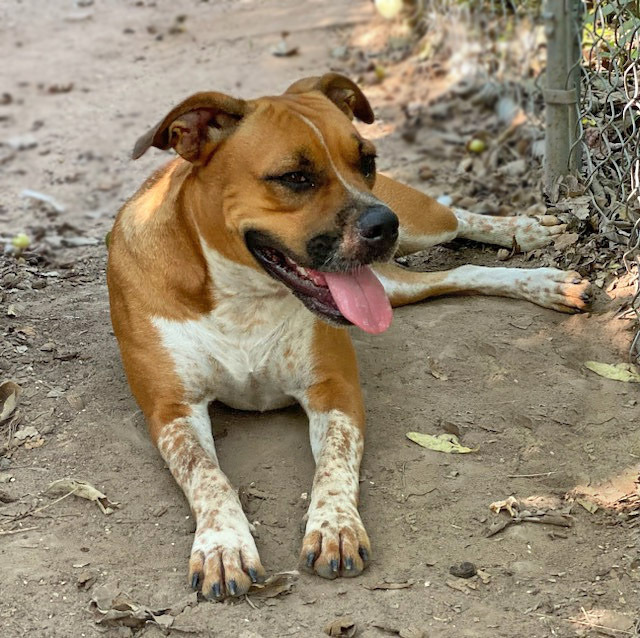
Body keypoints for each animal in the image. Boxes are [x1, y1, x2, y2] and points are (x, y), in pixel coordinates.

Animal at [105, 72, 592, 604]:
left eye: (367, 161)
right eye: (294, 177)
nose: (383, 224)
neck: (244, 298)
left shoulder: (335, 390)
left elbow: (335, 464)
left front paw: (335, 526)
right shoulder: (172, 410)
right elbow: (206, 474)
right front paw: (222, 545)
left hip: (415, 230)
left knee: (458, 220)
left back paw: (532, 240)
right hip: (395, 285)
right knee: (457, 272)